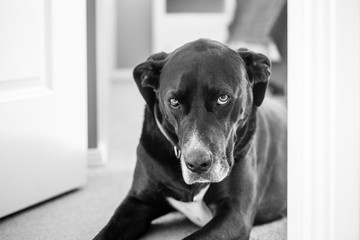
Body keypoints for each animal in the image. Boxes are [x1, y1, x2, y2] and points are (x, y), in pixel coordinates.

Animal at [93, 39, 286, 240]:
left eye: (223, 98)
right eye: (174, 102)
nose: (197, 164)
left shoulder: (235, 214)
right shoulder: (138, 202)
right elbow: (106, 233)